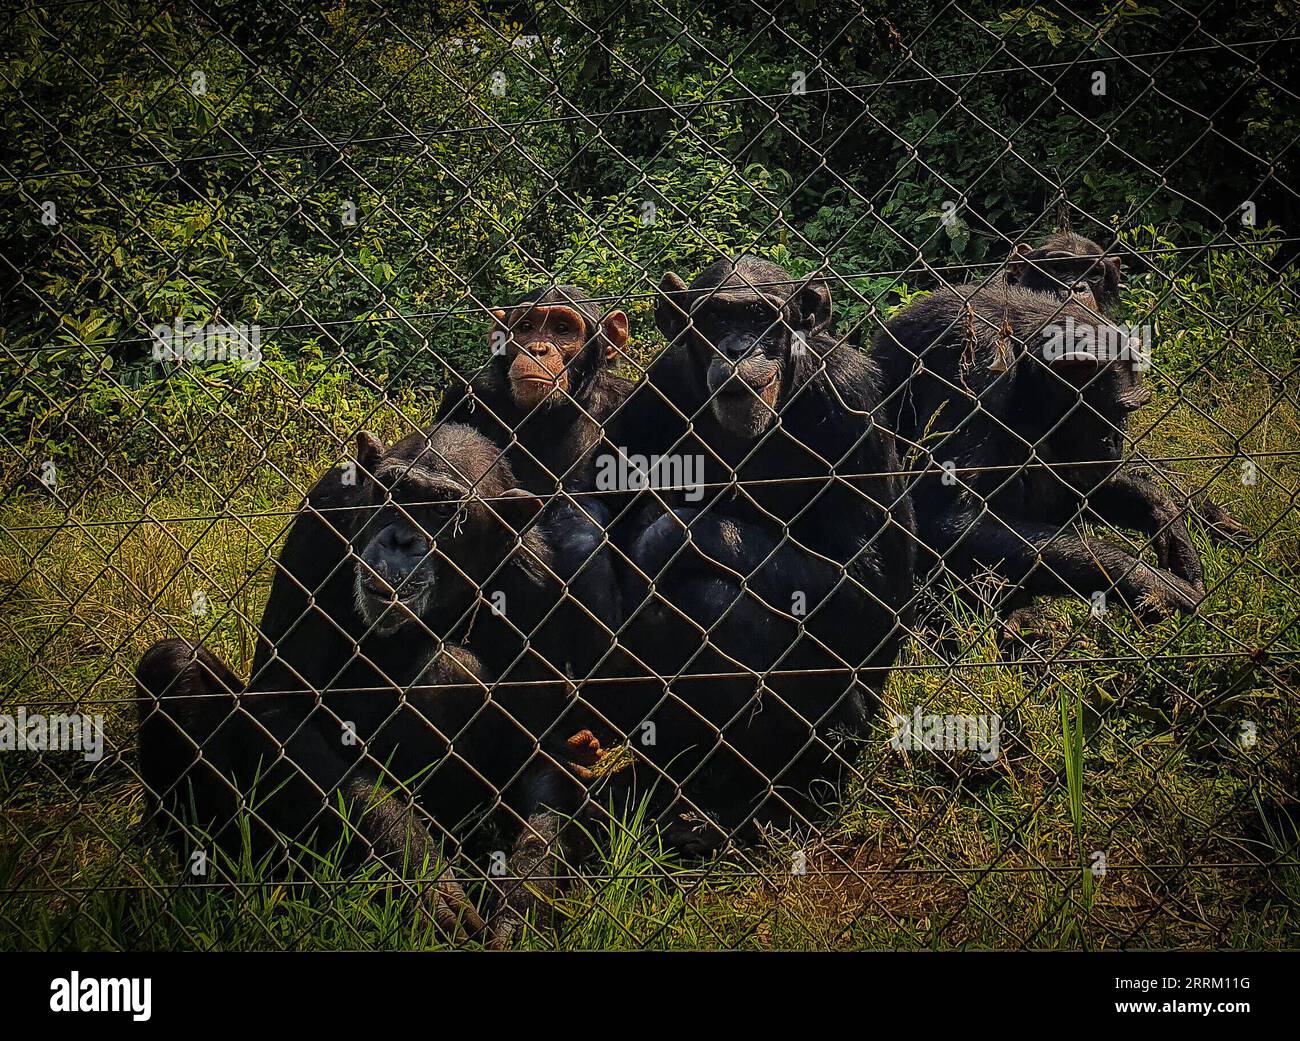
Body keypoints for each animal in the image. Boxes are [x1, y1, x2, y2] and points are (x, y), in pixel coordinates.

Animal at [139, 421, 605, 940]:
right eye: (396, 492)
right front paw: (419, 871)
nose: (401, 538)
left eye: (443, 511)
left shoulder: (540, 579)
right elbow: (284, 705)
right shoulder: (319, 518)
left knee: (449, 669)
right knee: (172, 666)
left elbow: (544, 752)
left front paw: (524, 902)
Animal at [577, 253, 915, 852]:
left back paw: (763, 804)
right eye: (715, 319)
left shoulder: (850, 397)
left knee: (714, 603)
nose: (738, 348)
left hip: (849, 731)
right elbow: (599, 513)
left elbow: (873, 586)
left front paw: (669, 536)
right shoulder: (656, 388)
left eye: (761, 318)